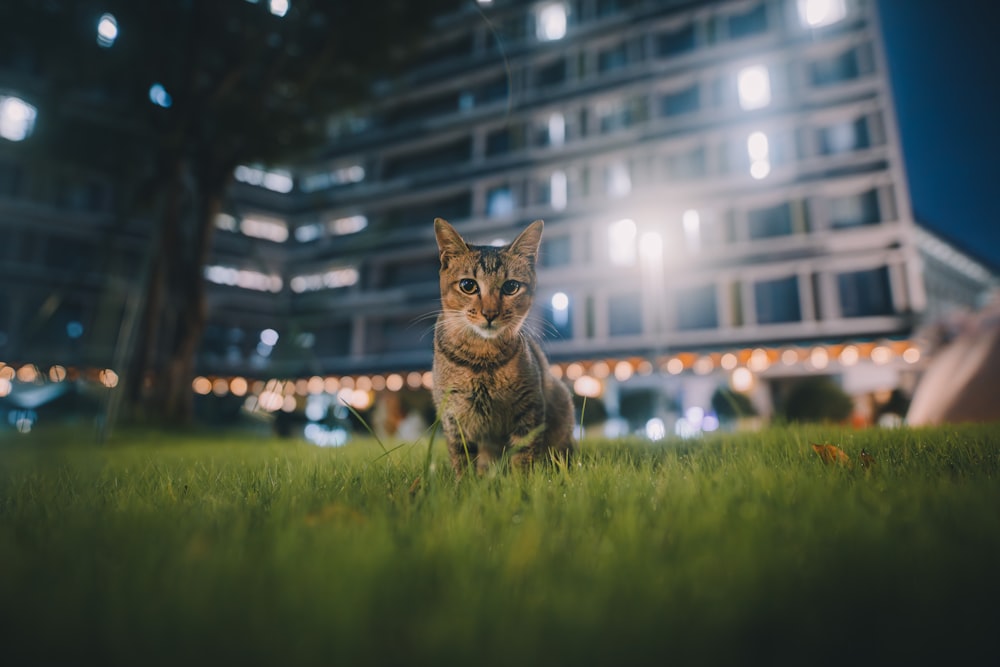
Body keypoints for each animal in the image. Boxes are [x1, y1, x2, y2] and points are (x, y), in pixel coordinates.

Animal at [432, 217, 580, 472]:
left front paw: (521, 479)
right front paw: (464, 480)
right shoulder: (453, 415)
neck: (482, 357)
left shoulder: (530, 408)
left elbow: (524, 456)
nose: (490, 313)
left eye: (511, 287)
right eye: (468, 285)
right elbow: (462, 458)